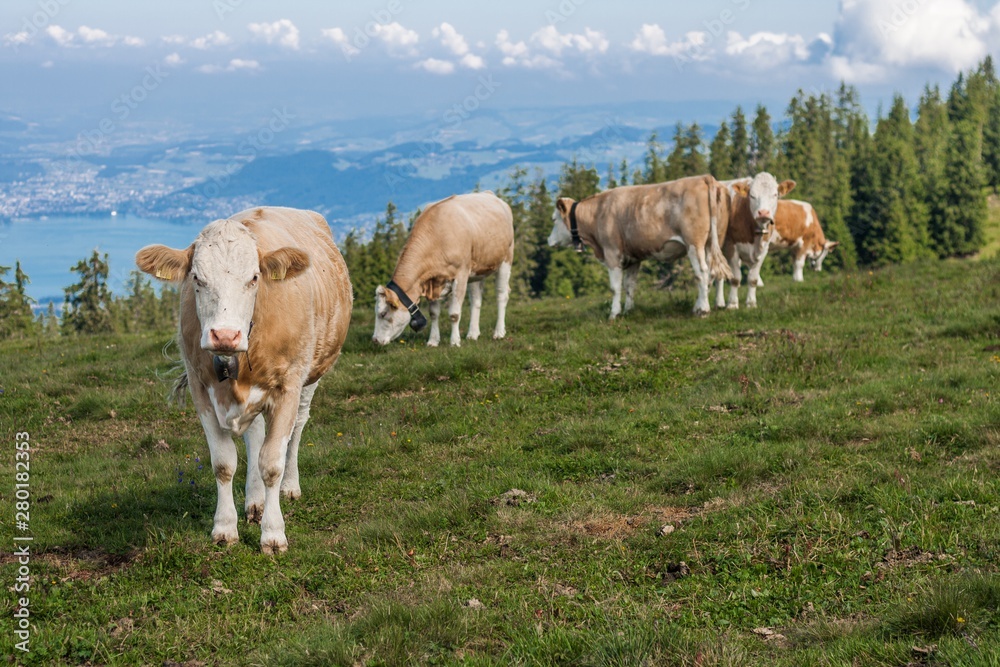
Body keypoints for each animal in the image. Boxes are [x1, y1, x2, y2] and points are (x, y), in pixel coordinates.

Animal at [136, 207, 356, 552]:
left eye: (253, 278)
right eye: (197, 278)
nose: (225, 335)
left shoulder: (289, 385)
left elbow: (273, 462)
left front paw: (274, 534)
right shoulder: (201, 389)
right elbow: (224, 462)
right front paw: (225, 527)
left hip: (312, 375)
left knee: (297, 428)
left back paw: (289, 486)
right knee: (255, 434)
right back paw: (255, 500)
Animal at [376, 192, 516, 348]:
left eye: (383, 314)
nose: (375, 340)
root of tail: (490, 194)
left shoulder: (460, 274)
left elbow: (454, 314)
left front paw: (454, 341)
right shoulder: (432, 281)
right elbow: (433, 313)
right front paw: (433, 341)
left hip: (506, 259)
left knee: (501, 295)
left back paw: (499, 332)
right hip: (476, 270)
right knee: (476, 300)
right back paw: (473, 334)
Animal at [548, 172, 736, 318]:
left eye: (554, 219)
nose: (549, 240)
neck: (598, 212)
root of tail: (704, 177)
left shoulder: (612, 253)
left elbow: (615, 287)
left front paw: (614, 313)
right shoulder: (633, 258)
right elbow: (629, 285)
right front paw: (628, 311)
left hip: (694, 243)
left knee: (702, 273)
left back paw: (703, 309)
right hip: (713, 241)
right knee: (712, 273)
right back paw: (699, 306)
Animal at [716, 172, 800, 308]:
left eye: (775, 194)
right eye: (752, 195)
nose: (763, 212)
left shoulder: (763, 250)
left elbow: (753, 279)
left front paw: (751, 303)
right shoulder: (731, 247)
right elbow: (735, 278)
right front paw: (732, 304)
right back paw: (719, 302)